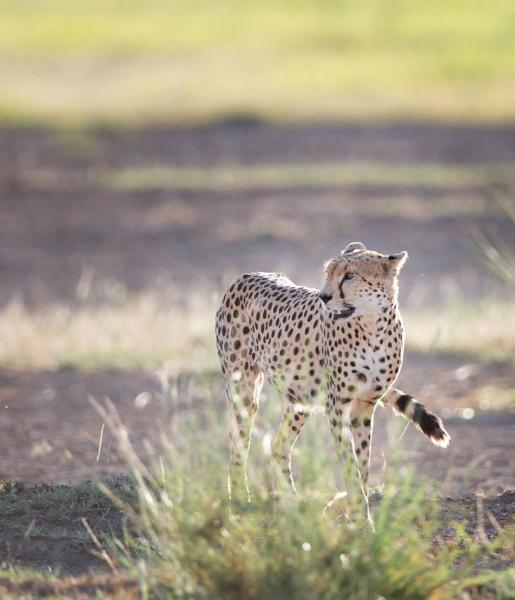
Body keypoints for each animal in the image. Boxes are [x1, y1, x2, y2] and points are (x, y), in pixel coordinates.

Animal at [216, 241, 450, 516]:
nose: (324, 297)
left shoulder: (364, 406)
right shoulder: (337, 406)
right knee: (238, 444)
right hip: (244, 389)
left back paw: (292, 503)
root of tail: (247, 275)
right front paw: (359, 513)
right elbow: (349, 464)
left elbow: (362, 464)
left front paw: (359, 513)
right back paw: (240, 499)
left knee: (278, 447)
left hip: (301, 399)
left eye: (350, 275)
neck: (373, 327)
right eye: (328, 273)